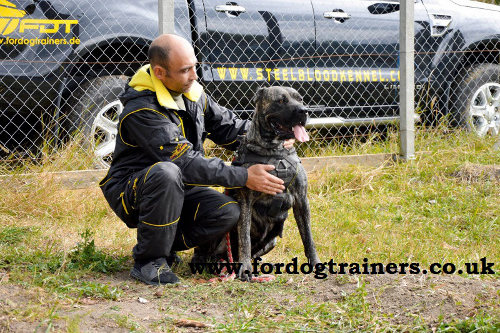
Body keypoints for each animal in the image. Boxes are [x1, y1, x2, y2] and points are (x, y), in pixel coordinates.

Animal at [226, 85, 322, 280]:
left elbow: (308, 236)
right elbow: (244, 238)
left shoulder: (302, 200)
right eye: (281, 100)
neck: (275, 151)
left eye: (300, 99)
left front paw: (315, 262)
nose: (304, 111)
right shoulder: (245, 202)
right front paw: (245, 268)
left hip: (272, 242)